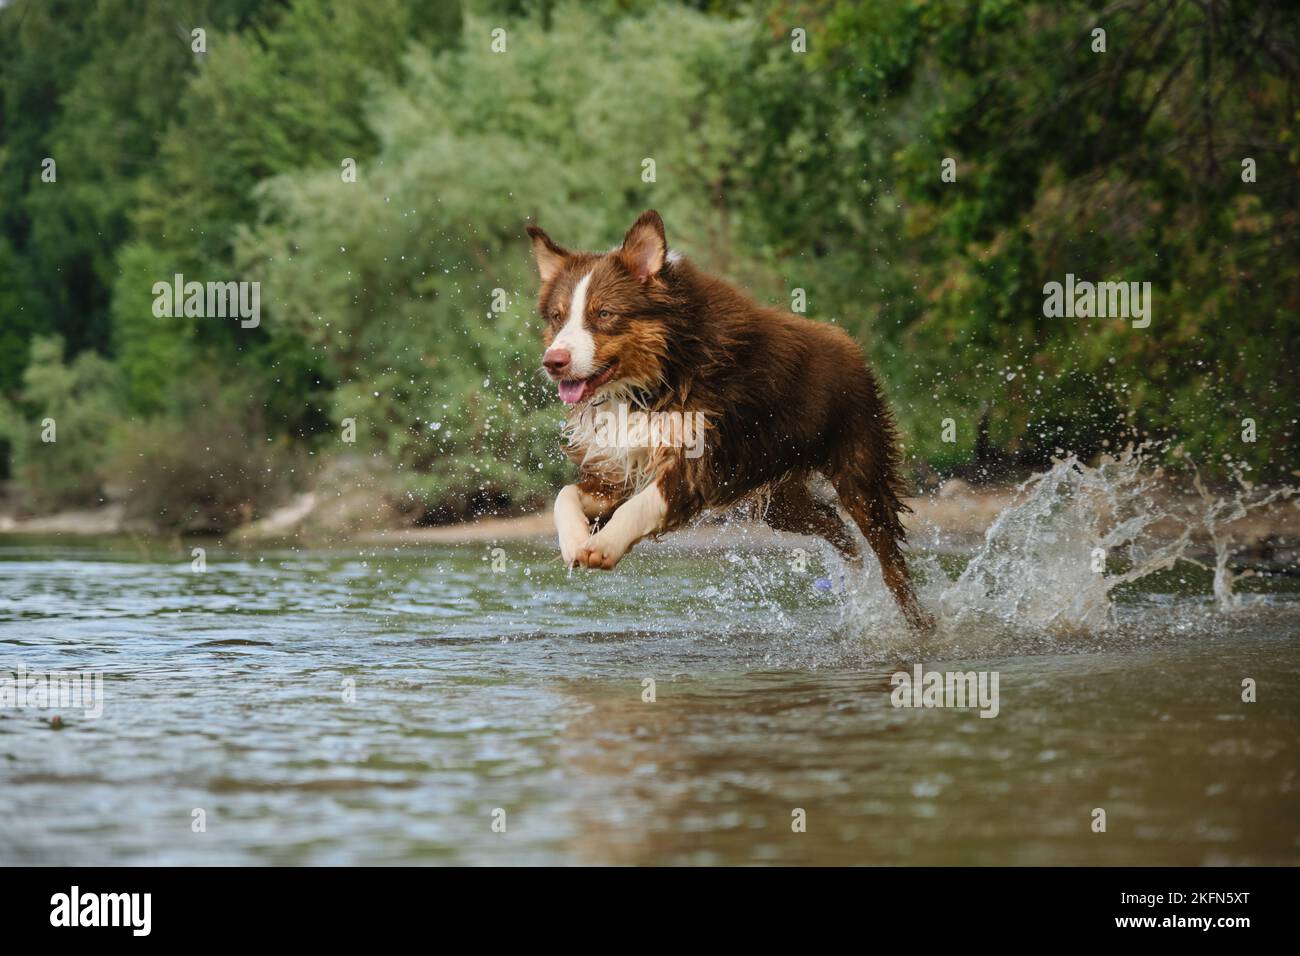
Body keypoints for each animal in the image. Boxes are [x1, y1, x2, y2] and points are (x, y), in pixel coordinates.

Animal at [527, 210, 935, 632]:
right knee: (833, 524)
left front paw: (603, 546)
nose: (553, 362)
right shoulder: (617, 465)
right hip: (781, 498)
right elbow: (565, 494)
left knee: (890, 559)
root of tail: (851, 345)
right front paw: (574, 540)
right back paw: (852, 569)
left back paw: (919, 622)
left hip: (859, 470)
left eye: (604, 313)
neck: (660, 375)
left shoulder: (699, 460)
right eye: (558, 317)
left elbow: (642, 505)